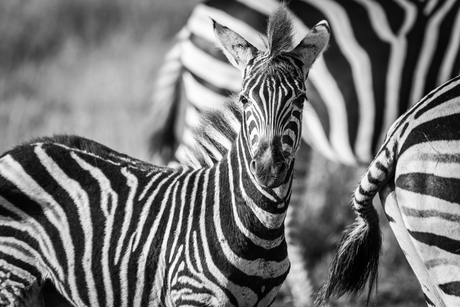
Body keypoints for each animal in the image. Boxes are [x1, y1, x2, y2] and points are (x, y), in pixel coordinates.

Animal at [0, 5, 330, 307]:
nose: (268, 169)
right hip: (11, 277)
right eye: (245, 99)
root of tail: (19, 149)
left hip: (50, 291)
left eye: (301, 99)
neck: (263, 229)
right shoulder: (191, 295)